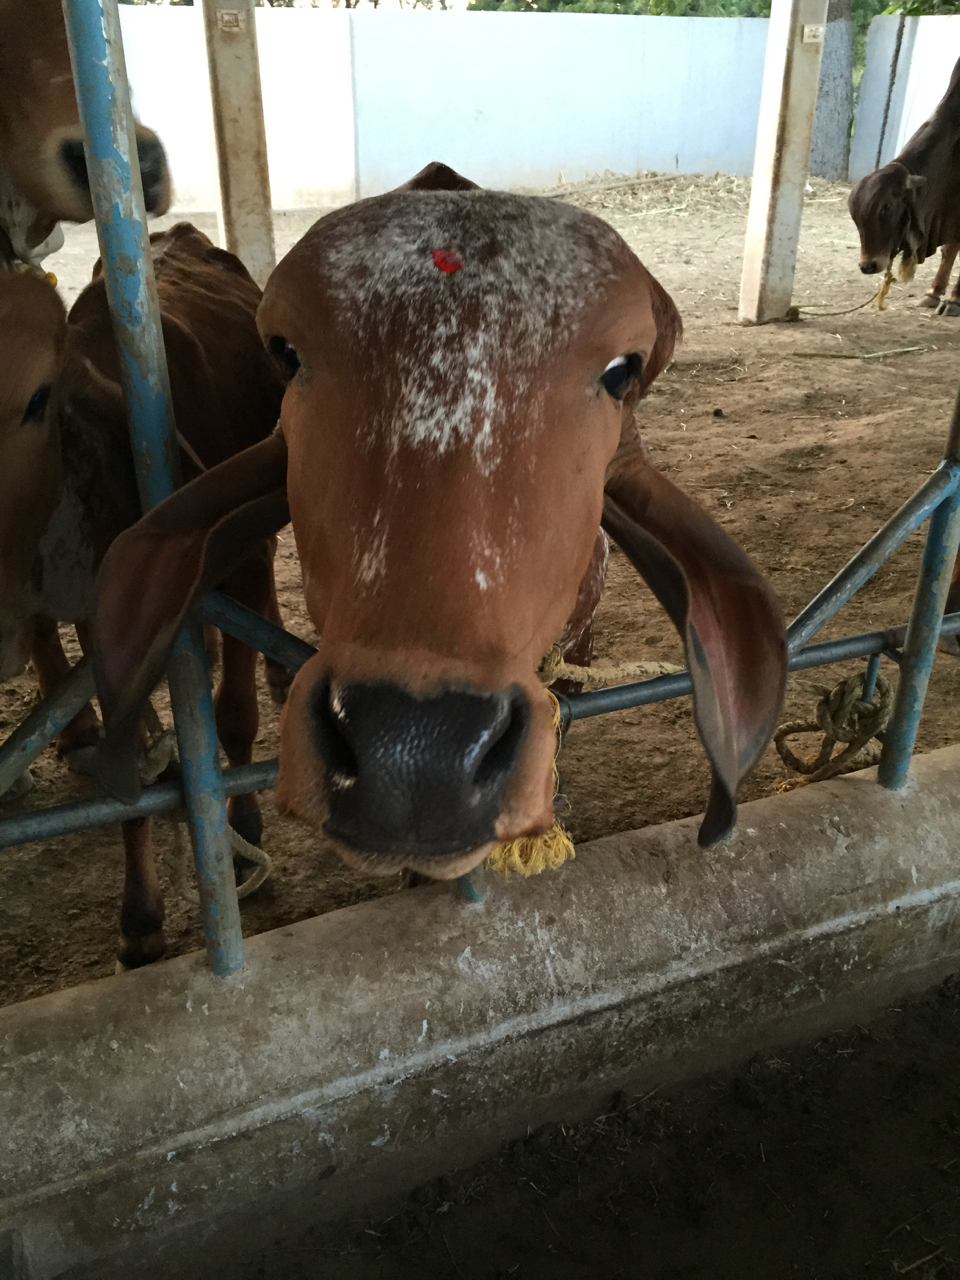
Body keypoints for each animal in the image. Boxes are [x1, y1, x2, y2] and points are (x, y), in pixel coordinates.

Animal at [0, 223, 286, 967]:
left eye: (36, 400)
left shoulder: (244, 564)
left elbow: (235, 717)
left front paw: (242, 829)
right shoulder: (104, 628)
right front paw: (140, 917)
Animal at [849, 57, 960, 315]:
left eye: (886, 207)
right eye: (854, 215)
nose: (867, 265)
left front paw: (954, 300)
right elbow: (949, 249)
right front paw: (934, 293)